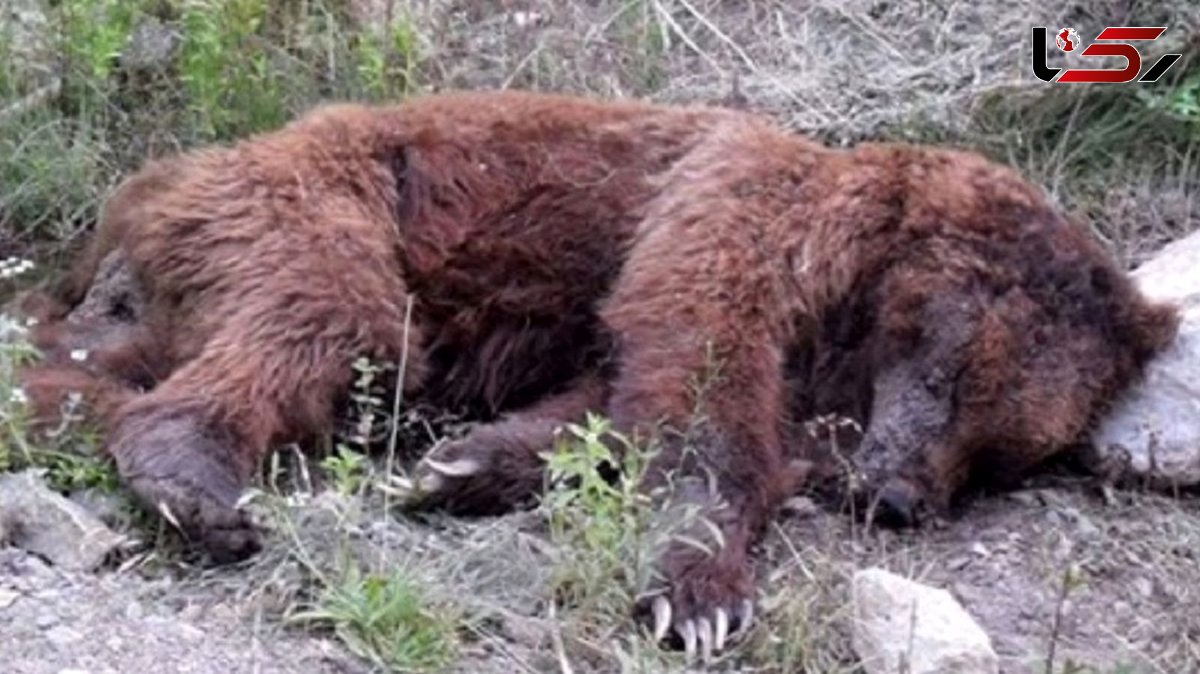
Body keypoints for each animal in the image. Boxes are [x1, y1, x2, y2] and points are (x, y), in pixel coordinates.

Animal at [18, 89, 1176, 657]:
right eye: (953, 376)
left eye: (1004, 452)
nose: (895, 497)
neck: (857, 295)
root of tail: (150, 186)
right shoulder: (740, 215)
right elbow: (697, 376)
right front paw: (699, 596)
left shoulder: (811, 373)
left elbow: (608, 400)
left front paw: (464, 464)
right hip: (317, 200)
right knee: (334, 319)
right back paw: (193, 477)